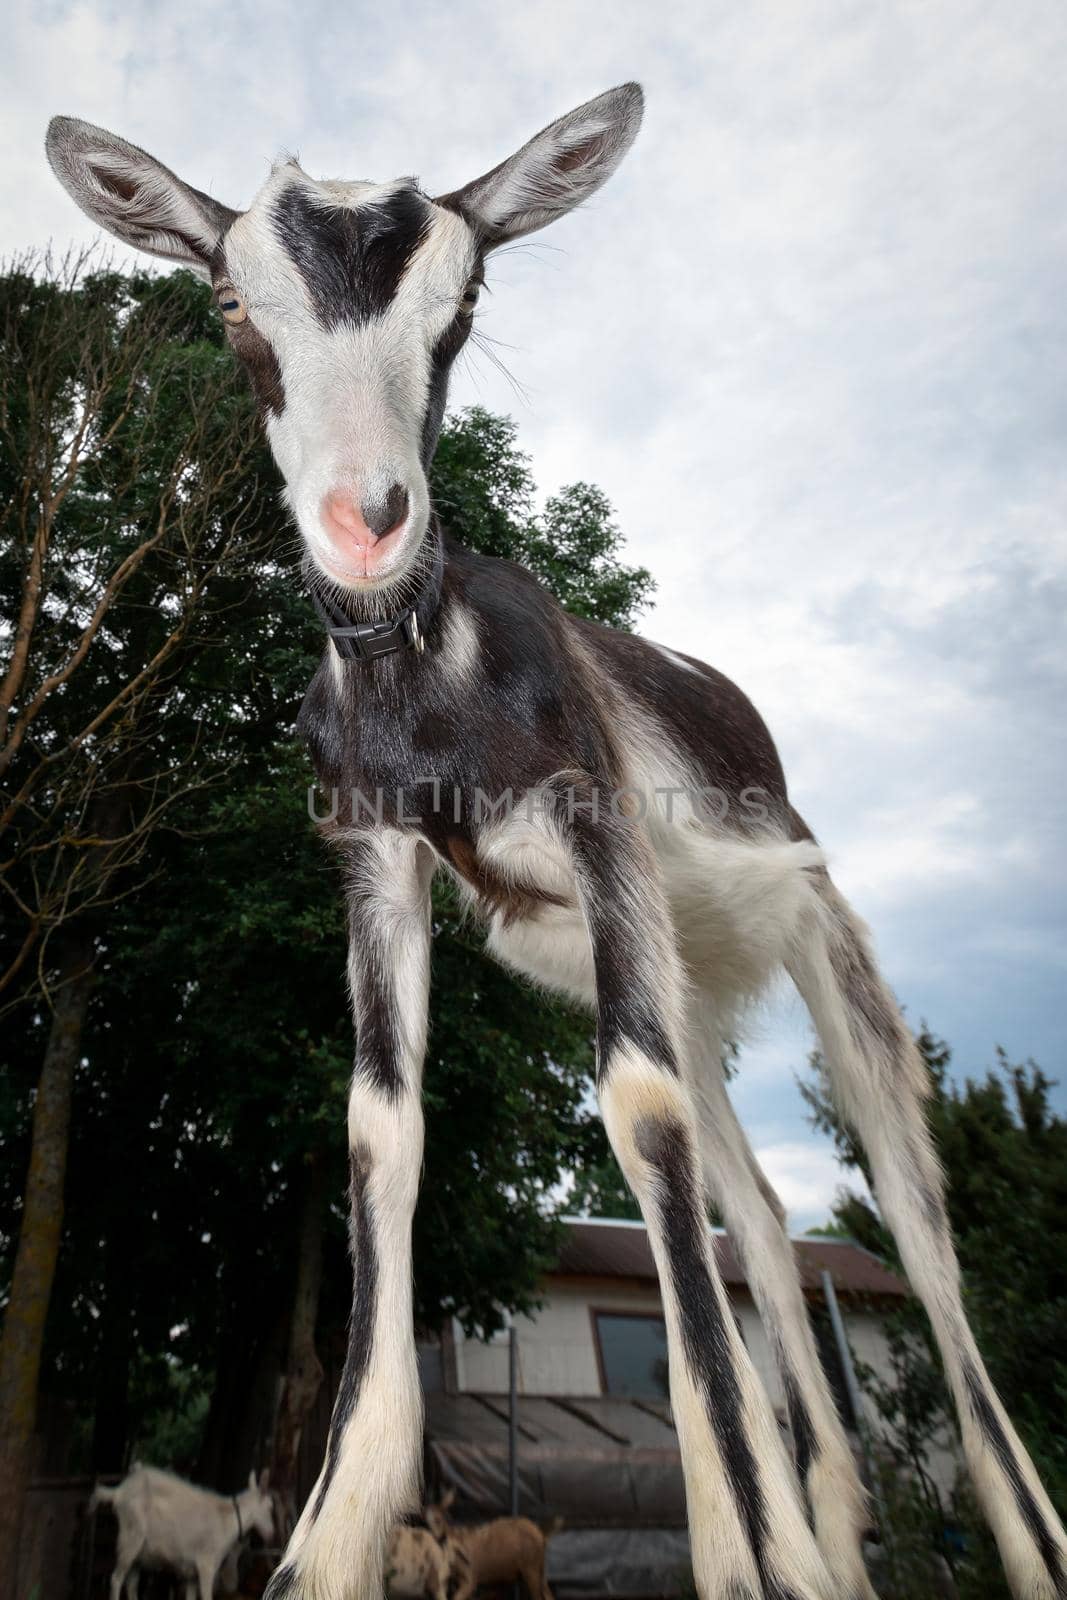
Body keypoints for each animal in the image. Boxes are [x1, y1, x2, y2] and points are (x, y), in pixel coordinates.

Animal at [90, 1465, 275, 1600]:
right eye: (270, 1507)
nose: (271, 1534)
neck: (226, 1522)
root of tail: (119, 1491)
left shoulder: (192, 1573)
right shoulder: (207, 1565)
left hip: (139, 1553)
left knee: (131, 1584)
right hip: (131, 1534)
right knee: (116, 1579)